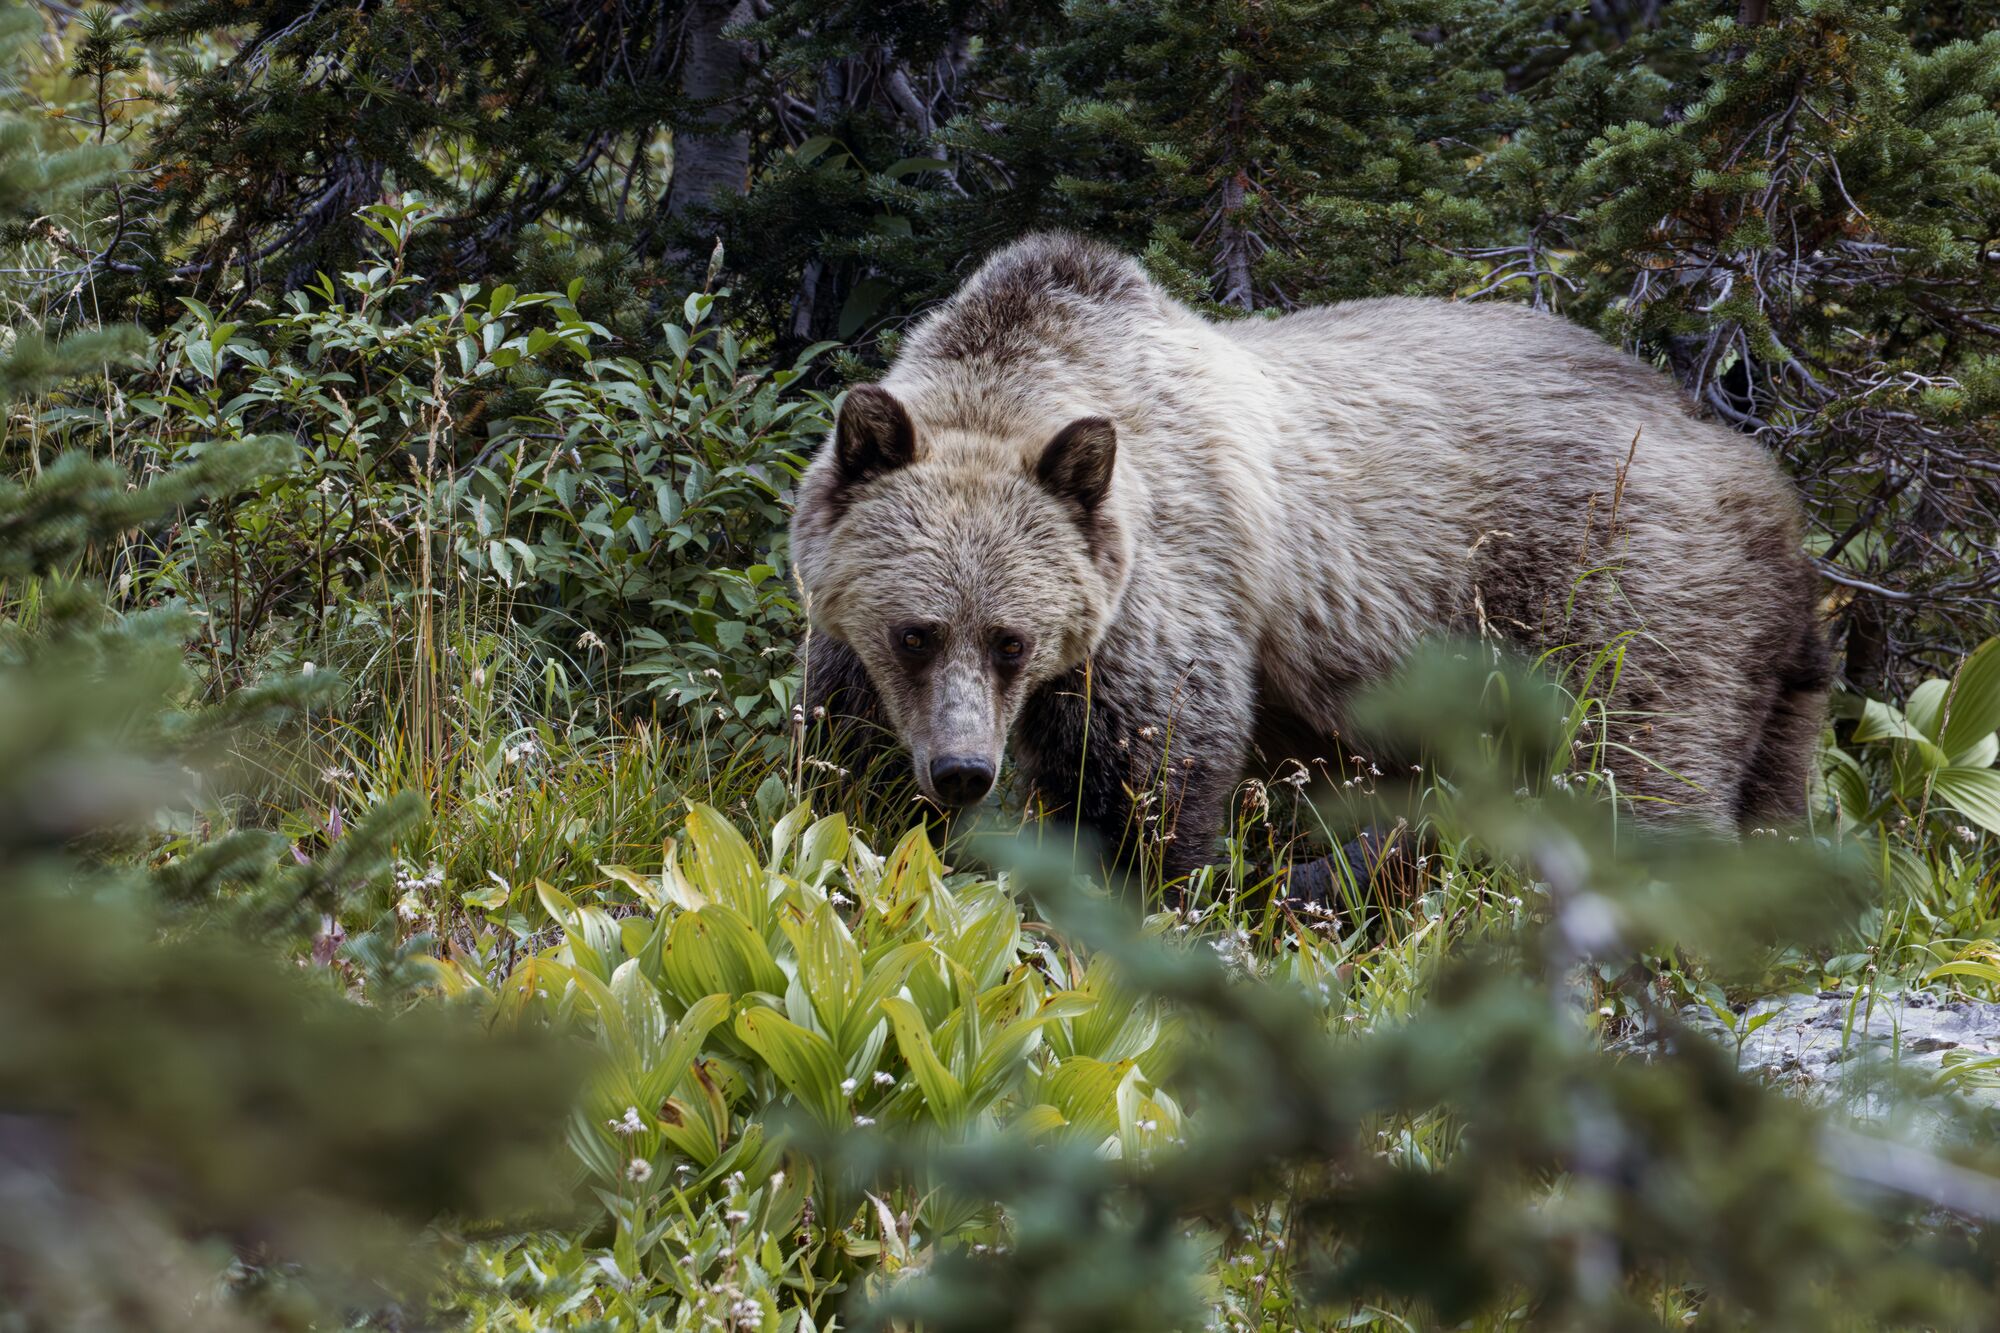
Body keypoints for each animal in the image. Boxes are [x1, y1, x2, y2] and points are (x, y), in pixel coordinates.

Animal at [792, 235, 1832, 888]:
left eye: (1011, 638)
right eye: (918, 632)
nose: (964, 769)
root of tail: (1762, 475)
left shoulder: (1162, 592)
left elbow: (1154, 771)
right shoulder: (851, 632)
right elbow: (841, 754)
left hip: (1619, 584)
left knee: (1639, 765)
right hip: (1761, 660)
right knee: (1770, 779)